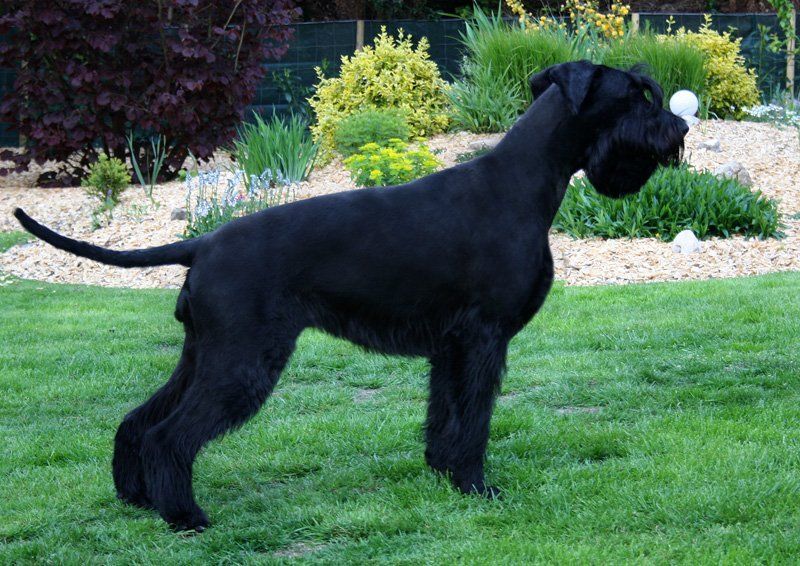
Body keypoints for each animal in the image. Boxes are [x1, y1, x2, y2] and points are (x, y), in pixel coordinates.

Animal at [14, 61, 688, 531]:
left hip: (205, 353)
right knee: (170, 434)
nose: (680, 126)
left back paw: (137, 498)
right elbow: (475, 418)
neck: (523, 182)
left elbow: (444, 414)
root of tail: (202, 243)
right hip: (243, 361)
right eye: (637, 94)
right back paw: (186, 517)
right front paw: (477, 485)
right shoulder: (484, 337)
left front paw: (442, 474)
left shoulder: (451, 345)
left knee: (138, 420)